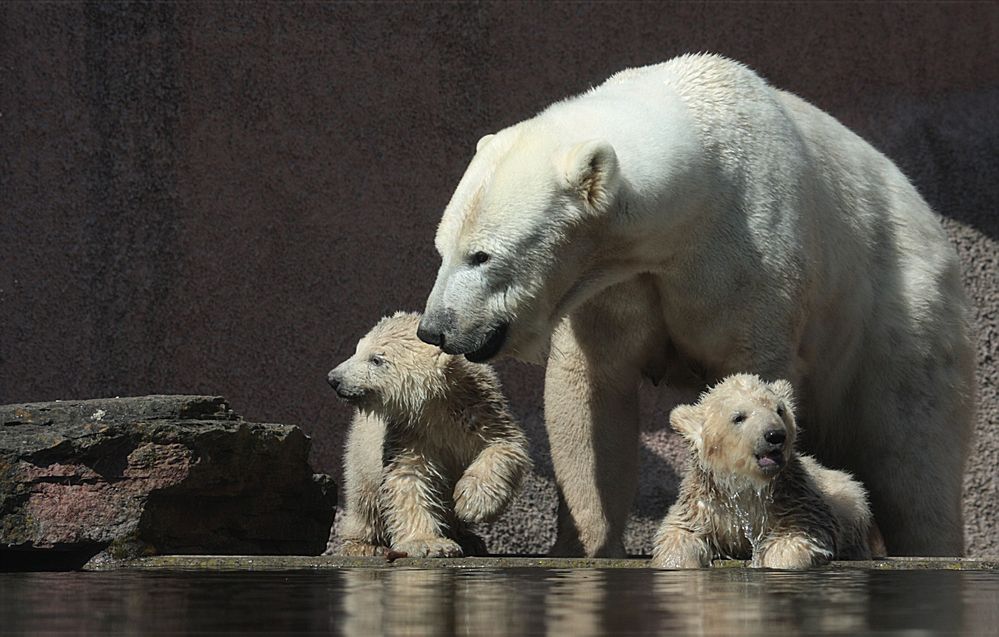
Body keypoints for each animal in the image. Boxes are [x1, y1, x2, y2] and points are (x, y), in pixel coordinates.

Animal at [418, 52, 972, 556]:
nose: (435, 329)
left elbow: (753, 372)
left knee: (913, 460)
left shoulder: (751, 259)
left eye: (481, 255)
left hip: (896, 319)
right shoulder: (618, 284)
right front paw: (587, 546)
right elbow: (591, 397)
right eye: (442, 249)